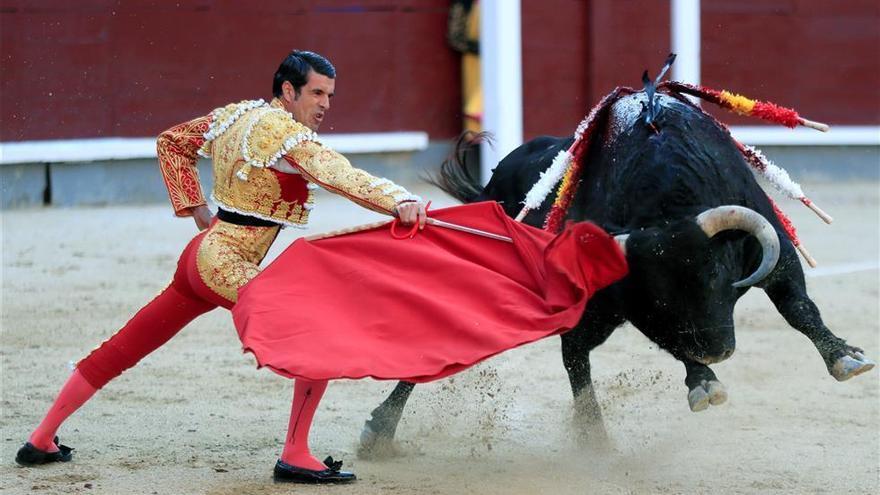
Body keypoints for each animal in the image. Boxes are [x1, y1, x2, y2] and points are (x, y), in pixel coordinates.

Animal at [356, 74, 872, 454]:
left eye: (717, 276)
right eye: (660, 296)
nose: (717, 351)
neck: (666, 202)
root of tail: (494, 184)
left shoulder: (774, 252)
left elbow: (799, 308)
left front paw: (845, 357)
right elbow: (666, 341)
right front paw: (704, 383)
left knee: (573, 356)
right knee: (559, 356)